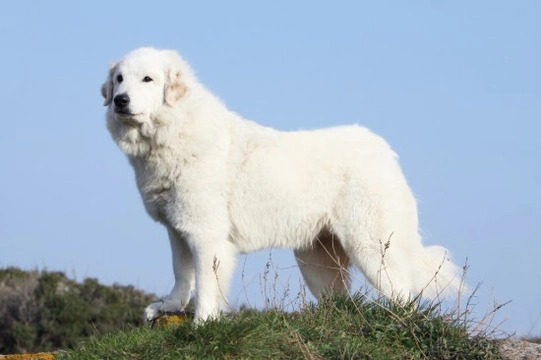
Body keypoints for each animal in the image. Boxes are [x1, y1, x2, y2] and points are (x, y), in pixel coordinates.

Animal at [102, 48, 464, 324]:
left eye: (148, 79)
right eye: (119, 79)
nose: (120, 100)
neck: (174, 131)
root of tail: (383, 149)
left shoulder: (206, 235)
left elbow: (205, 284)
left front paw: (202, 324)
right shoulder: (177, 230)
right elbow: (181, 274)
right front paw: (168, 307)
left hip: (370, 248)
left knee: (403, 296)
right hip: (317, 261)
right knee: (341, 302)